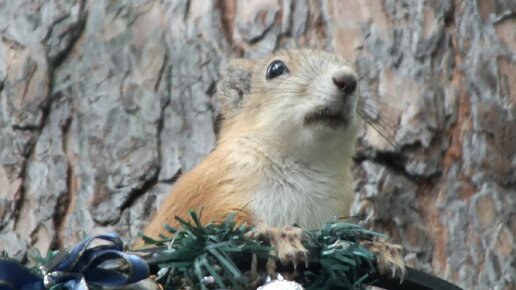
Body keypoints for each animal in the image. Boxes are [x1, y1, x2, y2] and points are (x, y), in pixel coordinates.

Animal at [139, 48, 406, 278]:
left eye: (353, 69)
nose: (348, 80)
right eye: (275, 69)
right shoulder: (212, 190)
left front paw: (378, 247)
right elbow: (213, 222)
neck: (304, 163)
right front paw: (276, 234)